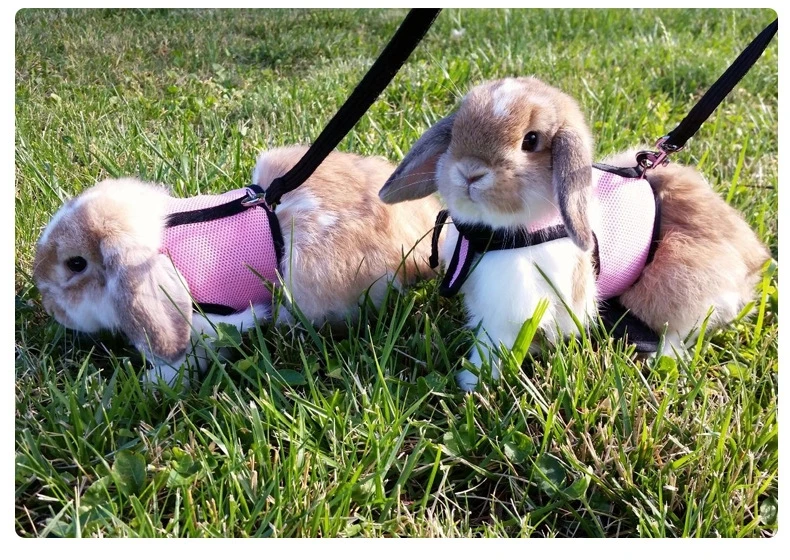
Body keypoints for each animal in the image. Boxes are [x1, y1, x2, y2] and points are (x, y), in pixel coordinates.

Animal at [378, 76, 770, 391]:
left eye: (531, 140)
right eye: (457, 129)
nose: (469, 172)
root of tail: (754, 260)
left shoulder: (512, 311)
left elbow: (494, 346)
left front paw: (473, 382)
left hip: (678, 283)